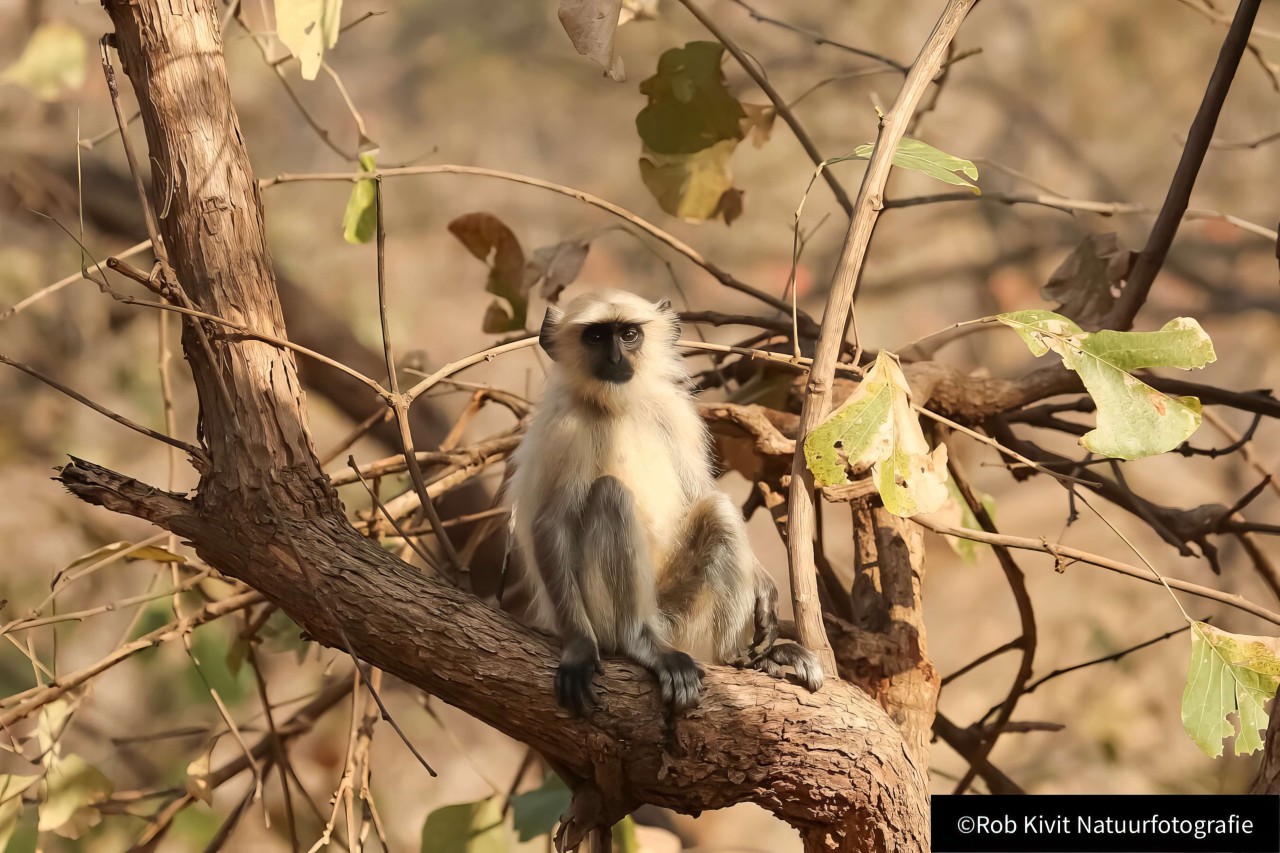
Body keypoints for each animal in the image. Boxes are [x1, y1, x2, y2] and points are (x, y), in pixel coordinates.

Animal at [507, 290, 823, 714]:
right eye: (595, 337)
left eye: (628, 335)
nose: (616, 359)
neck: (617, 406)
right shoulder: (565, 430)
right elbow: (549, 525)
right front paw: (579, 649)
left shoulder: (673, 411)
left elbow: (699, 492)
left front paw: (765, 590)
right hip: (614, 616)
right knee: (609, 496)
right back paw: (642, 644)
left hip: (679, 614)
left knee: (719, 512)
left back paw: (738, 657)